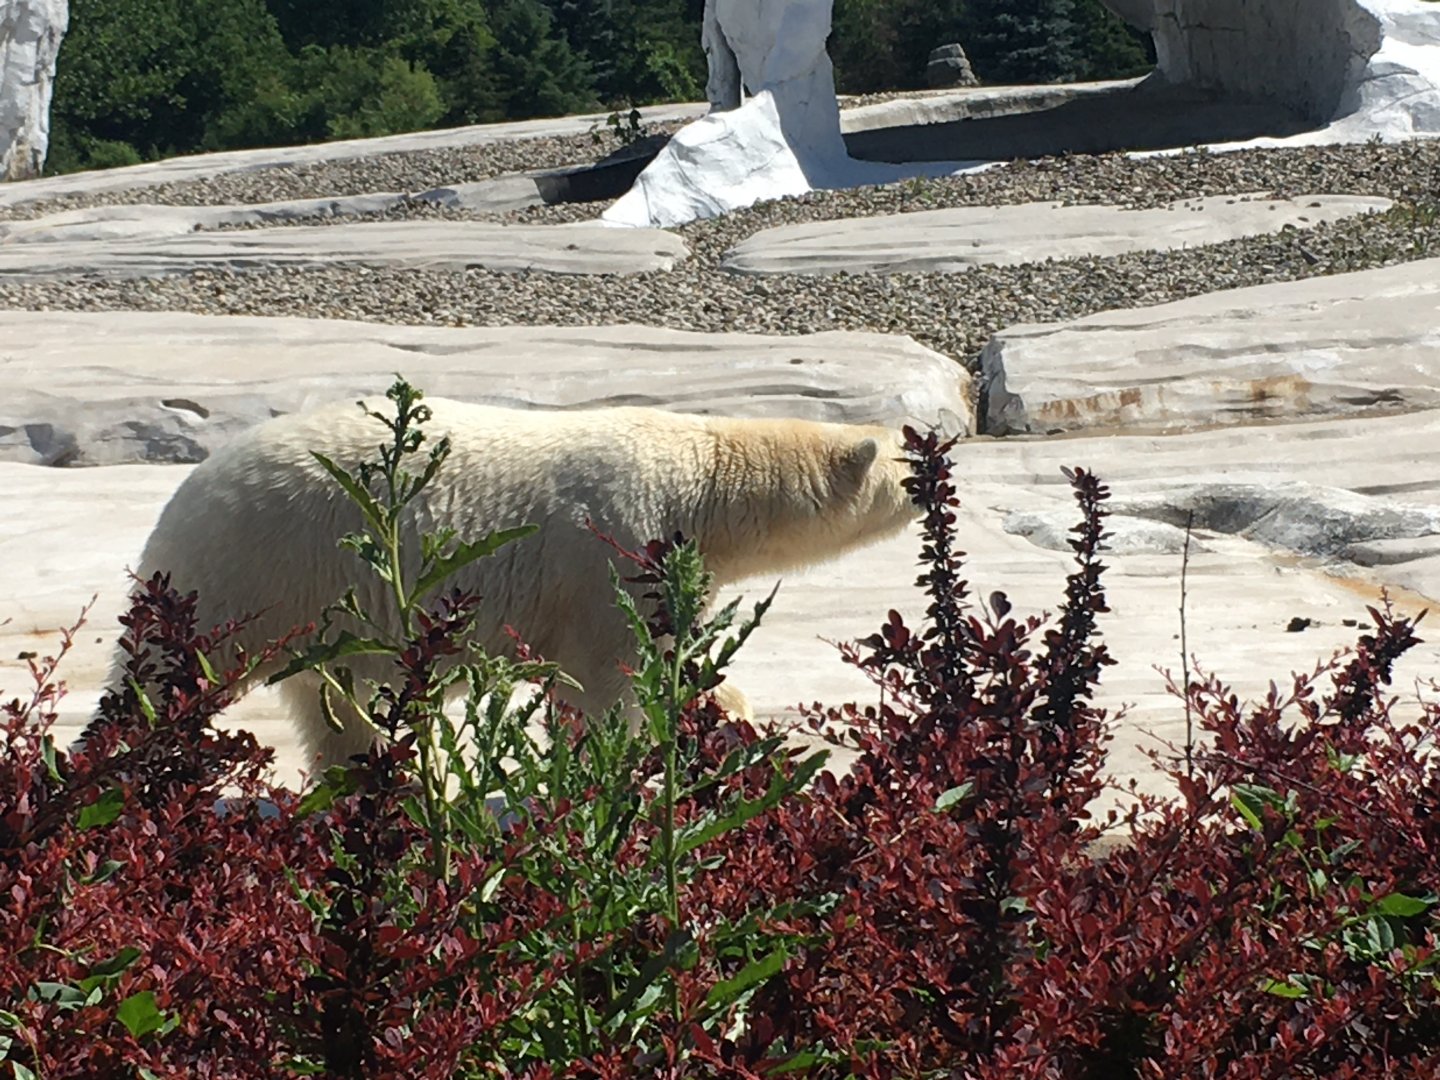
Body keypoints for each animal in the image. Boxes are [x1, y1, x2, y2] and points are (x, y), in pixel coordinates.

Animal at [123, 397, 918, 768]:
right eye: (913, 455)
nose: (939, 465)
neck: (705, 481)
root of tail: (184, 495)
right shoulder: (615, 549)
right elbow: (605, 676)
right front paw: (609, 760)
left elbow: (677, 653)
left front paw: (733, 710)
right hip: (249, 568)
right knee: (166, 674)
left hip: (319, 616)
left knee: (341, 709)